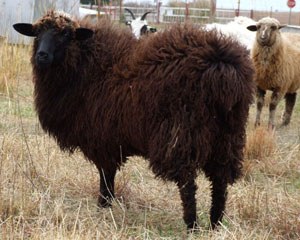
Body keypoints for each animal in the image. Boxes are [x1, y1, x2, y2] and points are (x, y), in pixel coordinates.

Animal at [12, 9, 254, 231]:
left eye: (65, 34)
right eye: (36, 33)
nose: (42, 55)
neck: (87, 66)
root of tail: (221, 66)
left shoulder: (102, 138)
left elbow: (106, 175)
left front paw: (103, 205)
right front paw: (106, 205)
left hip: (181, 134)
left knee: (188, 183)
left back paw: (192, 225)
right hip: (228, 135)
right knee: (220, 180)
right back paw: (215, 224)